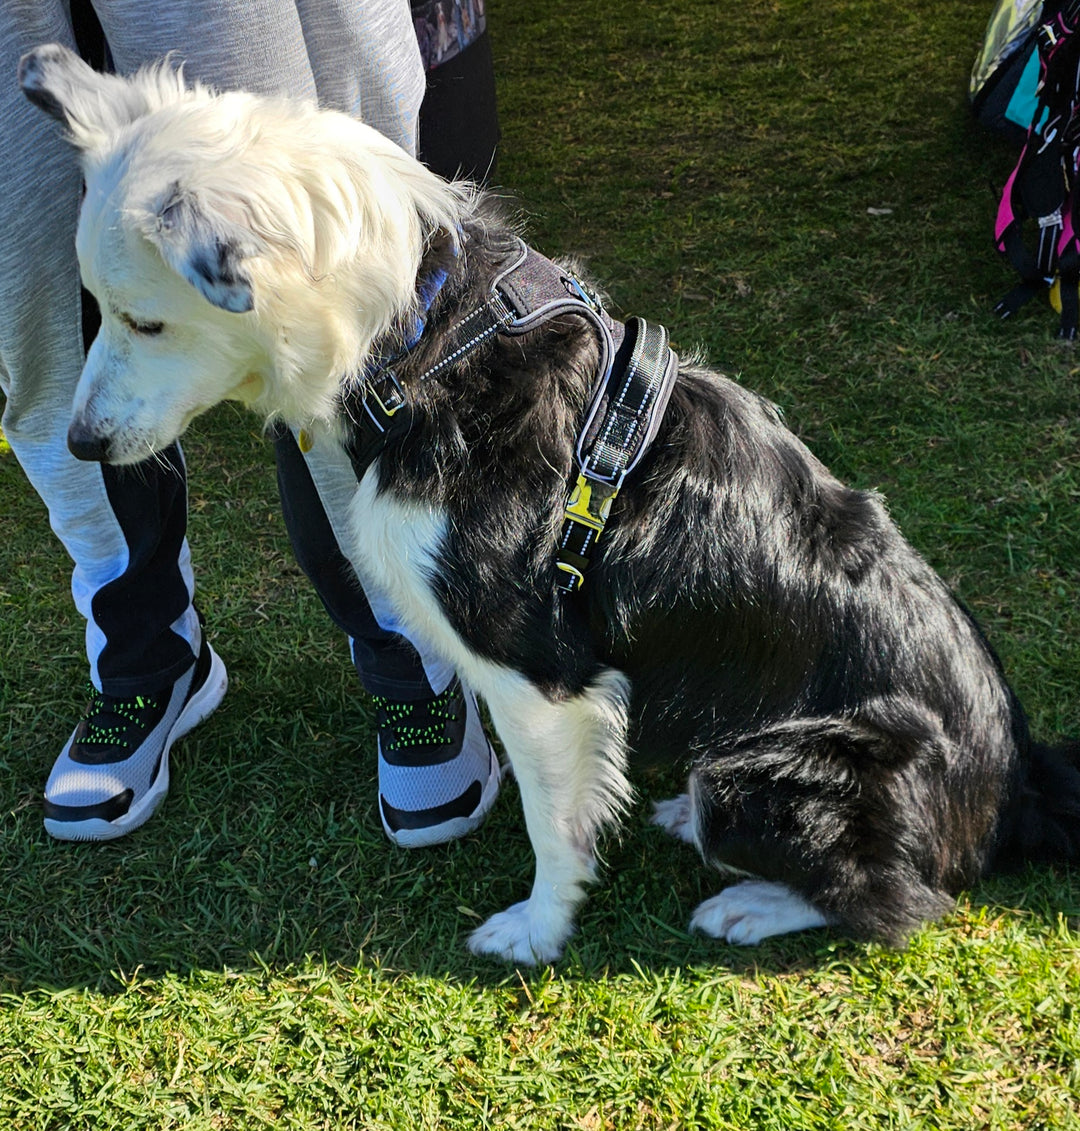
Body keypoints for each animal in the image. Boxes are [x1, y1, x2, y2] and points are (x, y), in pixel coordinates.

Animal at [21, 46, 1076, 963]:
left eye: (146, 320)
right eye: (97, 311)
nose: (78, 447)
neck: (418, 336)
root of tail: (1018, 779)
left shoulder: (538, 670)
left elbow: (551, 819)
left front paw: (538, 929)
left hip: (763, 771)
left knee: (903, 900)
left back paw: (748, 900)